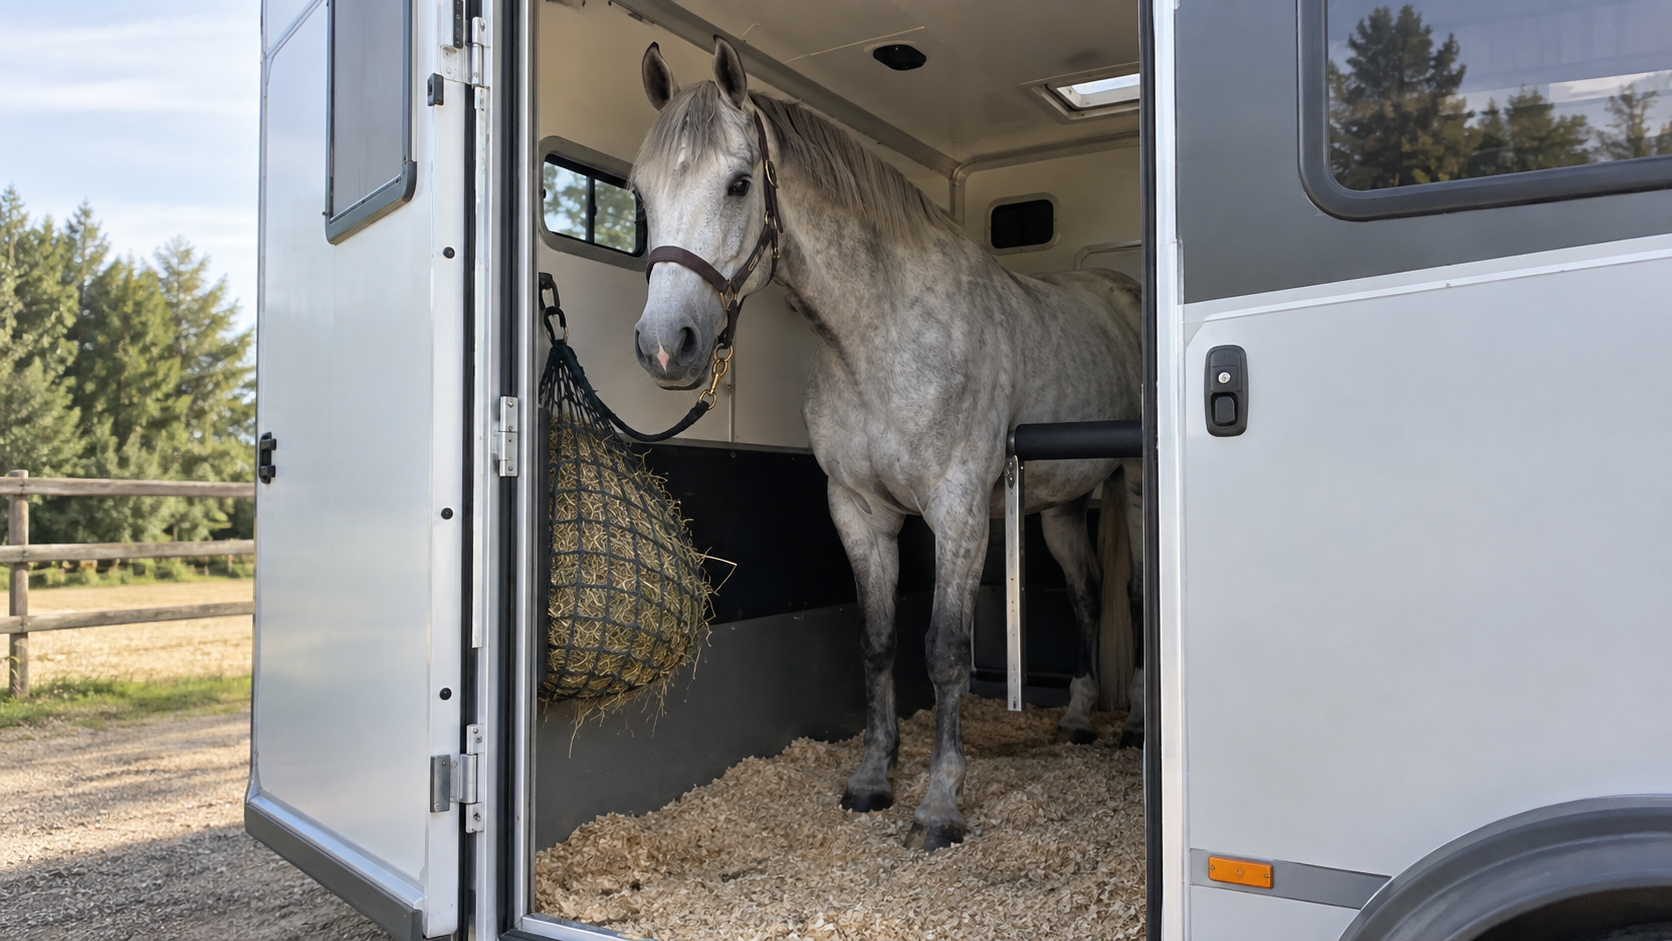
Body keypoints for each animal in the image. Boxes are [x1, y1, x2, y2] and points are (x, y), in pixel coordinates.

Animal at [628, 37, 1144, 851]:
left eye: (739, 184)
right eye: (639, 194)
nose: (664, 346)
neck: (881, 334)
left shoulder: (958, 510)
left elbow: (945, 651)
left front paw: (938, 805)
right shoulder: (859, 511)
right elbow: (874, 641)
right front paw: (872, 778)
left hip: (1139, 486)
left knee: (1138, 596)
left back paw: (1138, 726)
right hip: (1061, 505)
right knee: (1088, 594)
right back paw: (1077, 717)